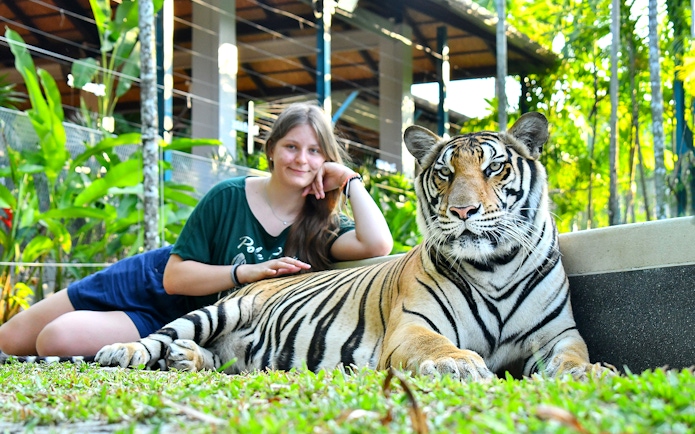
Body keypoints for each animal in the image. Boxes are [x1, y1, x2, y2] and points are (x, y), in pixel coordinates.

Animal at [95, 112, 610, 381]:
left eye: (494, 169)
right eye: (445, 174)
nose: (463, 211)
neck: (495, 266)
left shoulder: (559, 334)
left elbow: (575, 357)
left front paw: (593, 372)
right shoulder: (412, 327)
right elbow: (440, 345)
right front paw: (461, 364)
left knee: (220, 360)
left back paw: (189, 358)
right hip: (218, 310)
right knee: (159, 335)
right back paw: (121, 352)